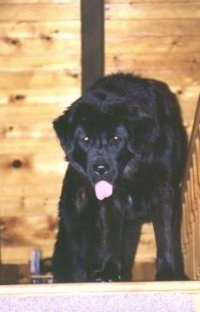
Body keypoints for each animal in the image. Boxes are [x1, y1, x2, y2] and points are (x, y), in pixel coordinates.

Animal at [52, 73, 187, 282]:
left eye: (116, 139)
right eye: (86, 140)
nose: (100, 169)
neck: (132, 170)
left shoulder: (163, 192)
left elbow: (164, 238)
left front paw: (168, 273)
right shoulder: (111, 202)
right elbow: (112, 239)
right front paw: (109, 271)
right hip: (76, 222)